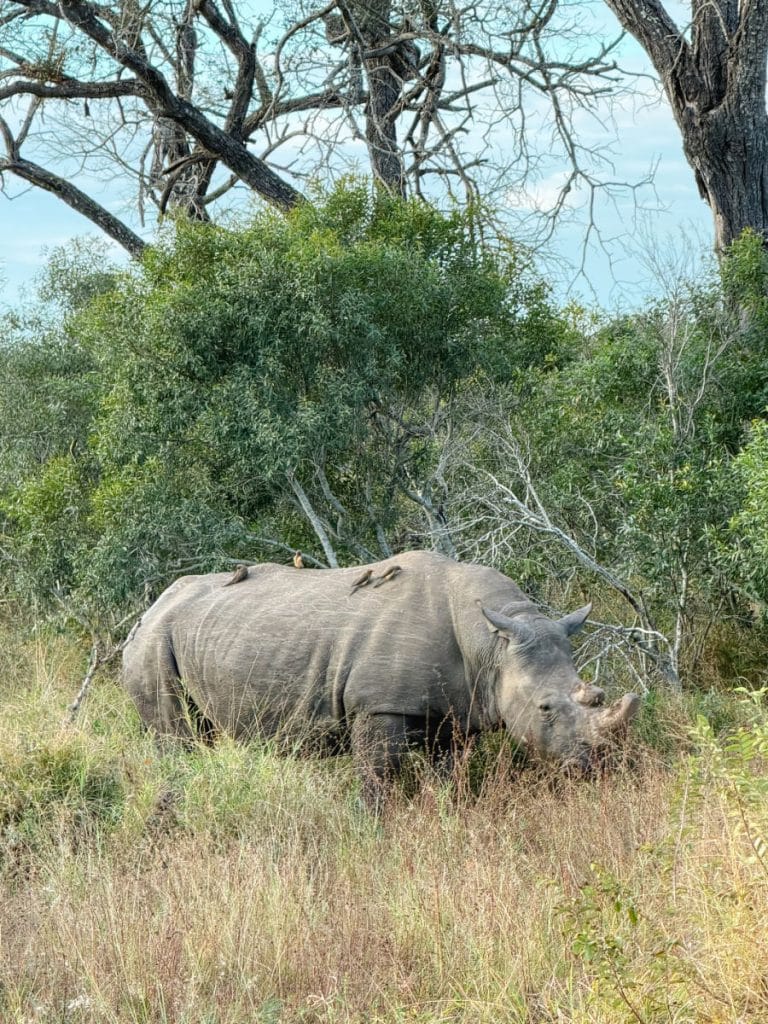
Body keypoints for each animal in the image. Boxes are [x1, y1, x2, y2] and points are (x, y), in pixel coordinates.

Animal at [122, 550, 639, 805]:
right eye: (545, 708)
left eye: (598, 694)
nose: (600, 767)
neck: (492, 640)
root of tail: (149, 608)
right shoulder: (378, 705)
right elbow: (378, 776)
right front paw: (372, 827)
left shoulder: (453, 710)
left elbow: (448, 776)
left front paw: (445, 815)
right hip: (153, 643)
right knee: (177, 738)